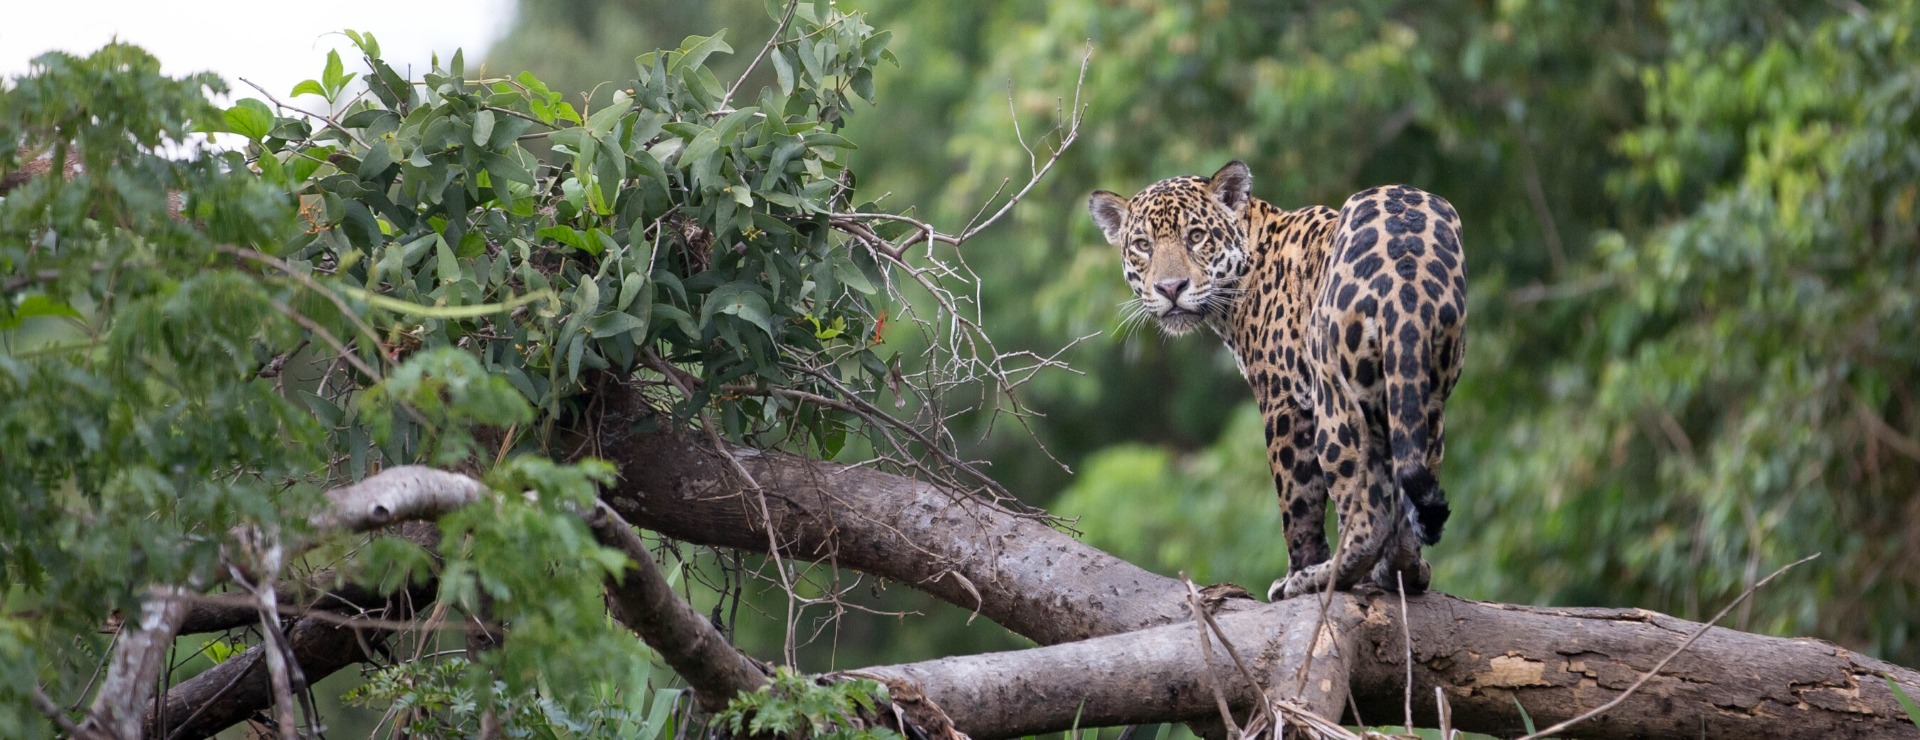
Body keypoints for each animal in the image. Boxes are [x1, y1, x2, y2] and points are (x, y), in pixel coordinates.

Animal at [1087, 161, 1467, 601]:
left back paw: (1318, 578)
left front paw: (1296, 571)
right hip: (1424, 396)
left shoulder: (1284, 402)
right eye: (1143, 245)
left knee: (1366, 516)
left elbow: (1297, 503)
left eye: (1195, 236)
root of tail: (1407, 271)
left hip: (1335, 401)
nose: (1170, 288)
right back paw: (1403, 570)